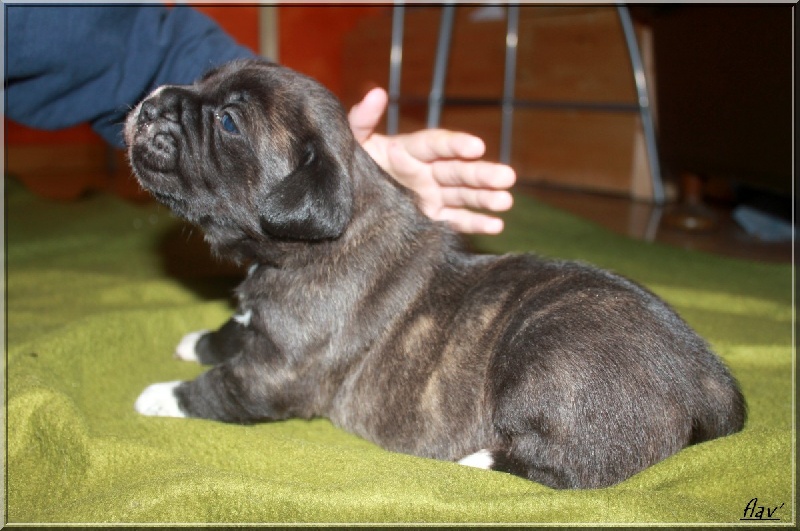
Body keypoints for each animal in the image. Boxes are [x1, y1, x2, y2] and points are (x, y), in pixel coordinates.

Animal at [125, 58, 744, 490]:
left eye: (228, 120)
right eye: (201, 81)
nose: (151, 102)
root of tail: (710, 382)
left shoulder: (278, 374)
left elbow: (218, 389)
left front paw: (157, 396)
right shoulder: (260, 328)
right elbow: (231, 331)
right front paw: (196, 340)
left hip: (554, 367)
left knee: (573, 468)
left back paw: (473, 460)